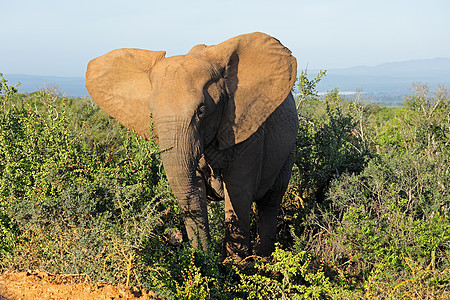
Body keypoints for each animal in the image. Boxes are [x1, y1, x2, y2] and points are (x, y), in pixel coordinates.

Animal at [87, 31, 298, 258]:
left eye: (202, 110)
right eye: (151, 113)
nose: (204, 255)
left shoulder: (249, 129)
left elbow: (238, 190)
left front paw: (236, 262)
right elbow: (193, 185)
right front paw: (204, 259)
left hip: (289, 149)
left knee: (270, 200)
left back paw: (262, 257)